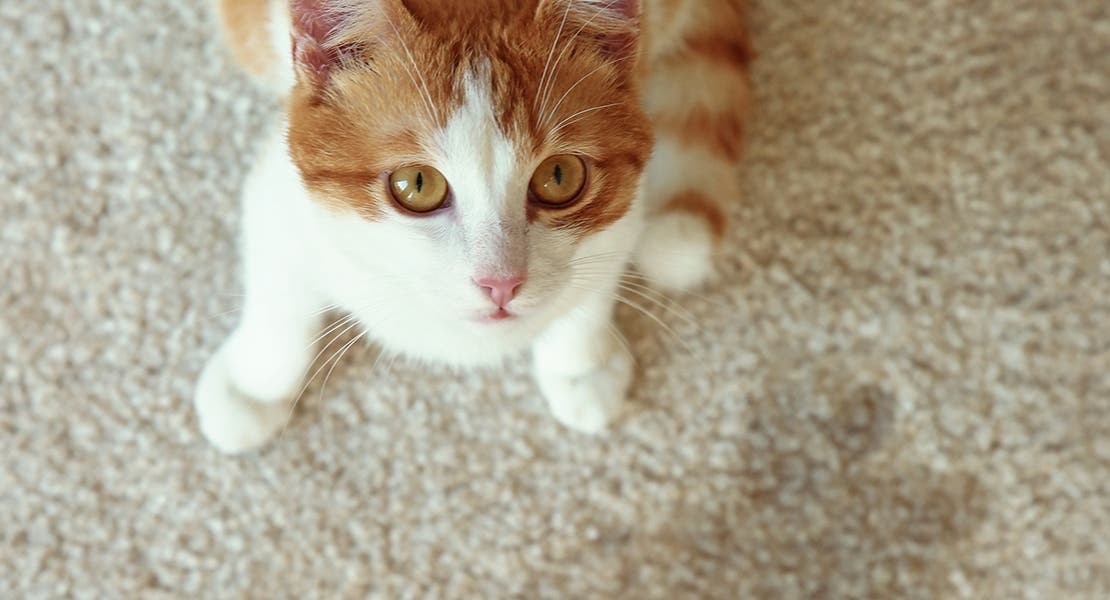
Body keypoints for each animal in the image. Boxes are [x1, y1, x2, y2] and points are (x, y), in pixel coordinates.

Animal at [199, 0, 754, 448]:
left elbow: (594, 280)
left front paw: (581, 364)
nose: (501, 283)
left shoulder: (625, 206)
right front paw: (251, 387)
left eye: (559, 176)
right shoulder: (282, 201)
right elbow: (279, 307)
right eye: (416, 184)